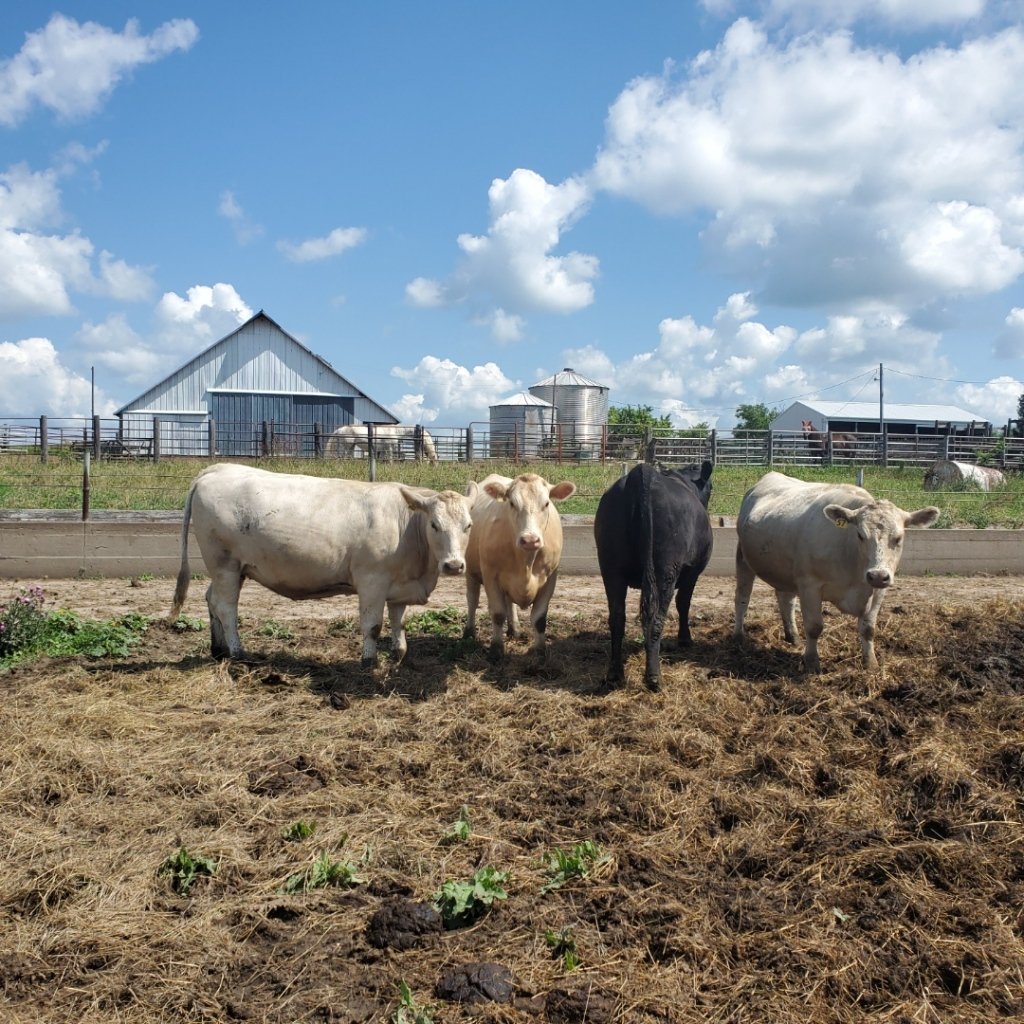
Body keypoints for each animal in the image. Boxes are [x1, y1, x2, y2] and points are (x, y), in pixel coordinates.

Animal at [169, 464, 475, 668]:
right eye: (434, 524)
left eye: (468, 525)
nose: (453, 565)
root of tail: (218, 469)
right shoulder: (372, 581)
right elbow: (373, 626)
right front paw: (369, 661)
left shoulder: (400, 585)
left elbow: (399, 622)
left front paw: (398, 655)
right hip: (225, 564)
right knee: (226, 607)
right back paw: (237, 652)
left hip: (230, 569)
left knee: (211, 599)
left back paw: (218, 649)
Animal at [464, 472, 576, 662]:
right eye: (512, 503)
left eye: (546, 503)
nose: (530, 540)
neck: (526, 563)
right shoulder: (490, 576)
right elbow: (497, 614)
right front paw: (496, 650)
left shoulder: (550, 579)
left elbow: (539, 618)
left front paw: (540, 651)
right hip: (471, 572)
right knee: (472, 600)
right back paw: (468, 633)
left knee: (509, 602)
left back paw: (514, 629)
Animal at [594, 461, 714, 690]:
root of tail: (643, 473)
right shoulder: (693, 571)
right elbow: (684, 603)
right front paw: (685, 639)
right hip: (665, 569)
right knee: (655, 617)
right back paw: (654, 677)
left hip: (611, 566)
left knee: (617, 618)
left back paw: (614, 674)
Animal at [733, 471, 939, 672]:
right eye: (860, 535)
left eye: (898, 538)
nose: (877, 575)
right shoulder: (809, 584)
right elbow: (814, 626)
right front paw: (812, 662)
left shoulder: (879, 590)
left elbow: (868, 629)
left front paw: (871, 664)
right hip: (743, 558)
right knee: (742, 598)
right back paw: (738, 636)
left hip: (785, 572)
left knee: (786, 599)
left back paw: (793, 636)